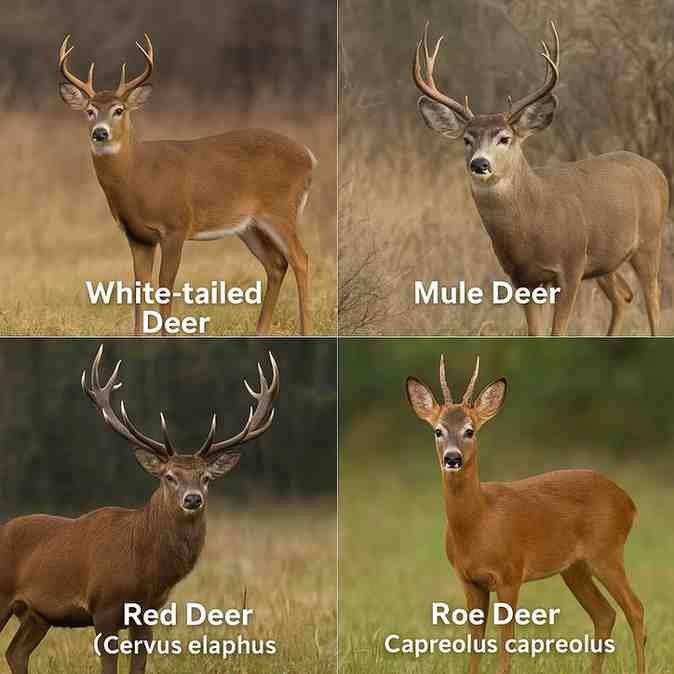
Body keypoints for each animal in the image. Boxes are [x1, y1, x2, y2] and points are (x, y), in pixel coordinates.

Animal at [0, 344, 279, 674]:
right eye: (169, 476)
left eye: (206, 478)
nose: (193, 499)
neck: (144, 567)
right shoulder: (103, 606)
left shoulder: (147, 612)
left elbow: (139, 665)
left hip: (36, 614)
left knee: (16, 652)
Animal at [58, 34, 314, 336]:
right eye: (89, 111)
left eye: (119, 110)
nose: (100, 133)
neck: (139, 177)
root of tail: (309, 157)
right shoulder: (137, 235)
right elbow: (139, 286)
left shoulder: (176, 226)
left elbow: (165, 284)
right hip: (249, 225)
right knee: (276, 264)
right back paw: (260, 331)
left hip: (281, 210)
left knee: (301, 259)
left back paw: (305, 330)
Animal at [405, 356, 645, 674]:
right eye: (438, 430)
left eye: (470, 430)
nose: (452, 458)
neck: (479, 522)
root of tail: (629, 502)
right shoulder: (468, 579)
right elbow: (475, 642)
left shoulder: (510, 574)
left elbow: (506, 642)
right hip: (575, 567)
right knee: (604, 614)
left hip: (607, 551)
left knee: (635, 609)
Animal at [413, 20, 669, 336]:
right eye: (466, 139)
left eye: (505, 138)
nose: (480, 164)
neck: (533, 226)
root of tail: (656, 171)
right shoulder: (522, 278)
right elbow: (535, 333)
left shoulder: (571, 265)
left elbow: (558, 332)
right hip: (605, 261)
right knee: (624, 297)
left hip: (649, 239)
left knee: (653, 301)